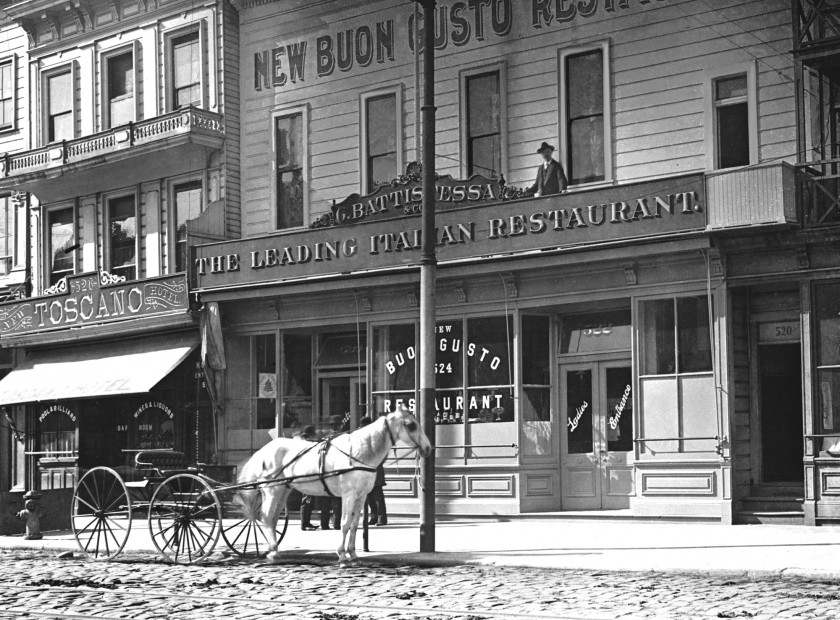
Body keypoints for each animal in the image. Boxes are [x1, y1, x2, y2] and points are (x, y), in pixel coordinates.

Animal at [238, 406, 430, 568]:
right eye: (411, 425)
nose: (428, 448)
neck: (359, 452)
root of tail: (264, 449)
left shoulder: (361, 496)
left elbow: (354, 525)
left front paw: (353, 555)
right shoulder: (348, 495)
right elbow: (345, 524)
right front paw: (342, 556)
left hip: (283, 489)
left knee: (273, 518)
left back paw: (274, 550)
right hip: (272, 489)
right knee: (266, 516)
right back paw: (272, 552)